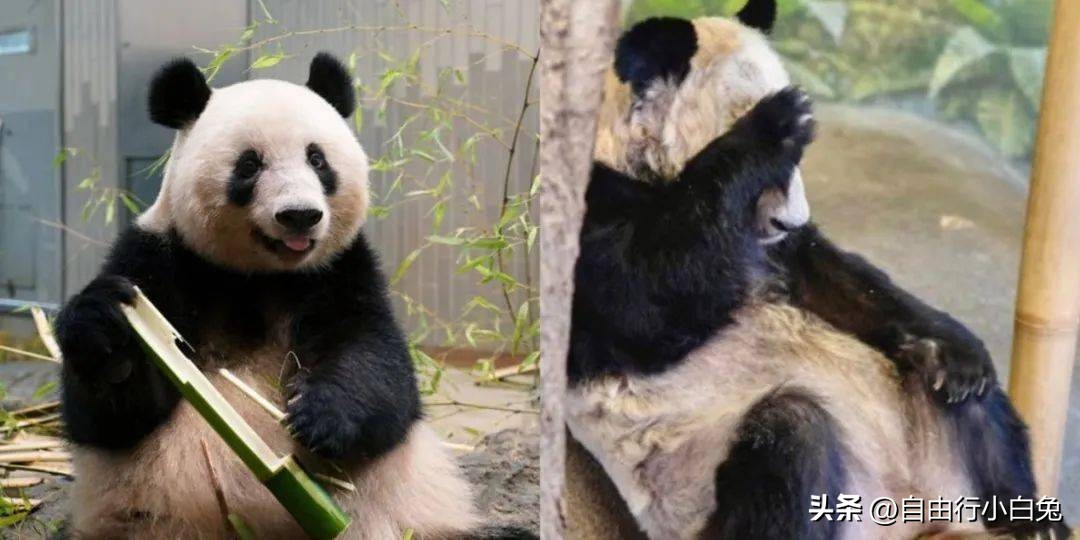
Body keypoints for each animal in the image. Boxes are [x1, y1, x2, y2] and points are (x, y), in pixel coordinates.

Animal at [54, 51, 535, 540]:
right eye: (249, 165)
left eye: (317, 159)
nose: (300, 215)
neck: (261, 276)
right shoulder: (161, 257)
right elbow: (110, 417)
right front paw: (107, 333)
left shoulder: (340, 269)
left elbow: (378, 367)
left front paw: (320, 416)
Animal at [565, 4, 1071, 540]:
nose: (790, 221)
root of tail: (905, 517)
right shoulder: (594, 208)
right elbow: (645, 299)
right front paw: (772, 124)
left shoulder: (780, 250)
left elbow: (836, 279)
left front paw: (955, 350)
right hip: (701, 478)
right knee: (789, 443)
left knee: (975, 407)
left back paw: (1028, 513)